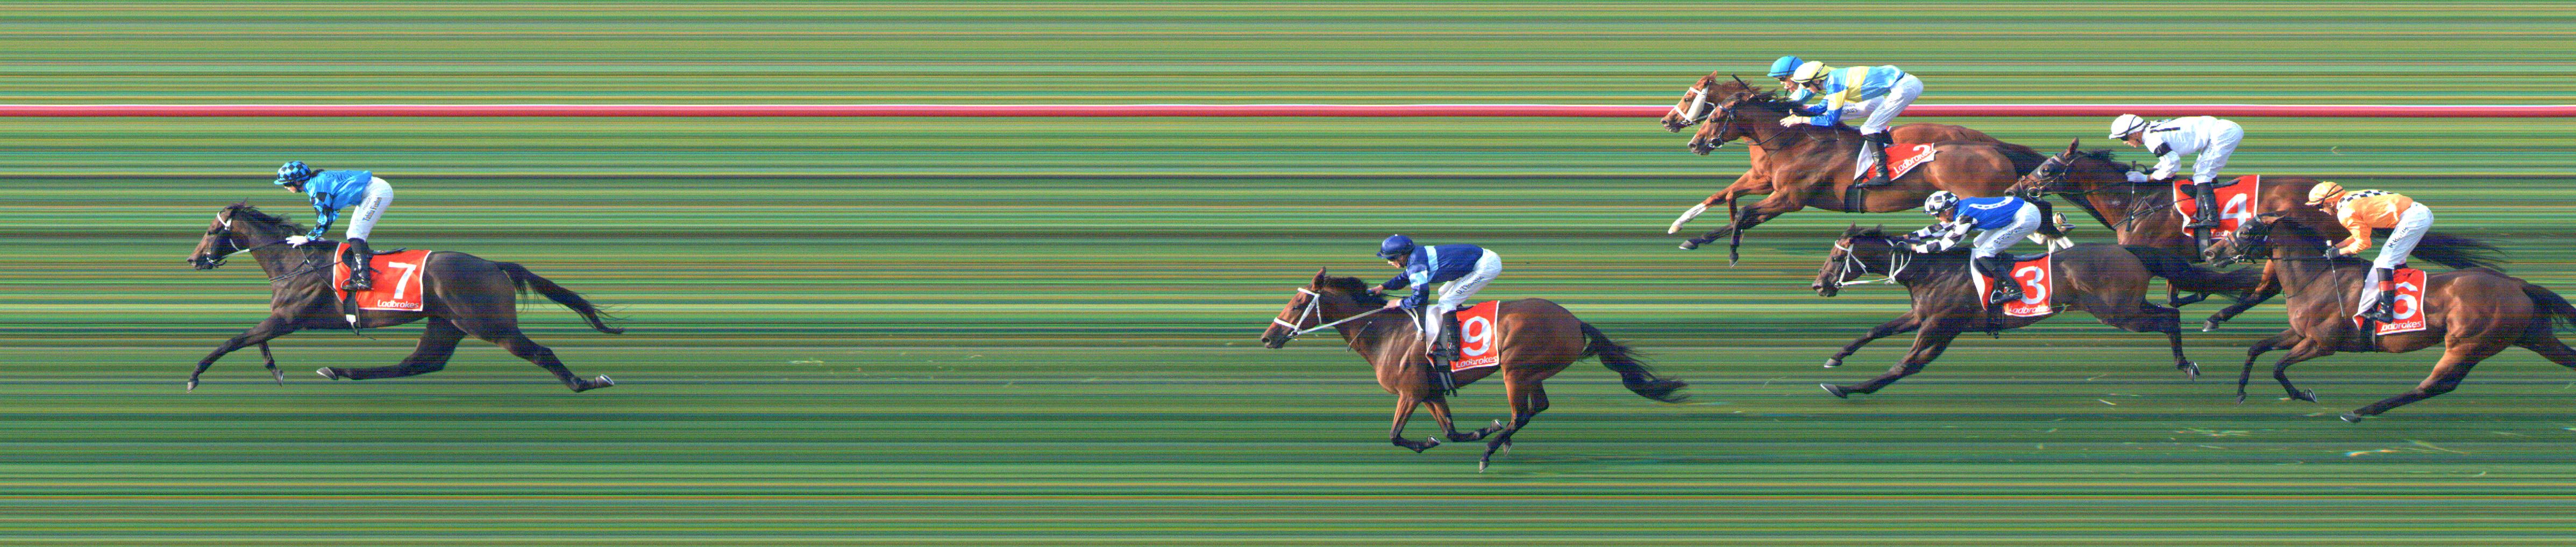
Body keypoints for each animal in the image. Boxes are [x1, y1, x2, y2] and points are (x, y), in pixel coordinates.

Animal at [185, 203, 621, 392]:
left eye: (210, 230)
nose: (192, 260)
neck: (294, 259)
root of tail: (494, 265)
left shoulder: (289, 317)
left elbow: (236, 340)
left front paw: (194, 375)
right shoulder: (284, 319)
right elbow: (254, 341)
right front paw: (274, 370)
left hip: (490, 325)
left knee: (540, 352)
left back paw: (586, 382)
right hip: (447, 324)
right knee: (418, 364)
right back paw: (340, 371)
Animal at [1258, 269, 1688, 470]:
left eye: (1298, 303)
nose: (1267, 337)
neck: (1385, 333)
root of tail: (1573, 320)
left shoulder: (1410, 393)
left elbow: (1395, 436)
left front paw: (1466, 437)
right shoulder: (1430, 392)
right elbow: (1449, 431)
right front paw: (1470, 432)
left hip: (1515, 369)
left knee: (1521, 413)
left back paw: (1491, 449)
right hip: (1532, 373)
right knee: (1537, 408)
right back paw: (1498, 441)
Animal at [1679, 89, 2054, 263]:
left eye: (1714, 117)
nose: (1694, 144)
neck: (1795, 142)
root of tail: (1994, 147)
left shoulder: (1789, 198)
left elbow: (1743, 212)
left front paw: (1732, 252)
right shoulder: (1773, 189)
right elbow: (1737, 207)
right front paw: (1694, 237)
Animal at [1808, 226, 2263, 398]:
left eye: (1836, 257)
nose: (1818, 285)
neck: (1930, 270)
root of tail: (2129, 249)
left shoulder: (1941, 326)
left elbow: (1905, 365)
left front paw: (1849, 388)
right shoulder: (1923, 316)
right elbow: (1875, 330)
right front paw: (1836, 359)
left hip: (2118, 312)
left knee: (2169, 318)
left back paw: (2187, 364)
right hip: (2127, 305)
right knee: (2168, 314)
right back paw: (2185, 361)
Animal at [2207, 211, 2575, 421]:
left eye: (2245, 231)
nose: (2210, 252)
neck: (2317, 277)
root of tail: (2518, 284)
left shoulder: (2321, 344)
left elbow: (2278, 367)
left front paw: (2302, 394)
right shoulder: (2299, 334)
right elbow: (2256, 349)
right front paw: (2240, 392)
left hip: (2466, 343)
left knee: (2433, 385)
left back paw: (2360, 411)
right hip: (2531, 338)